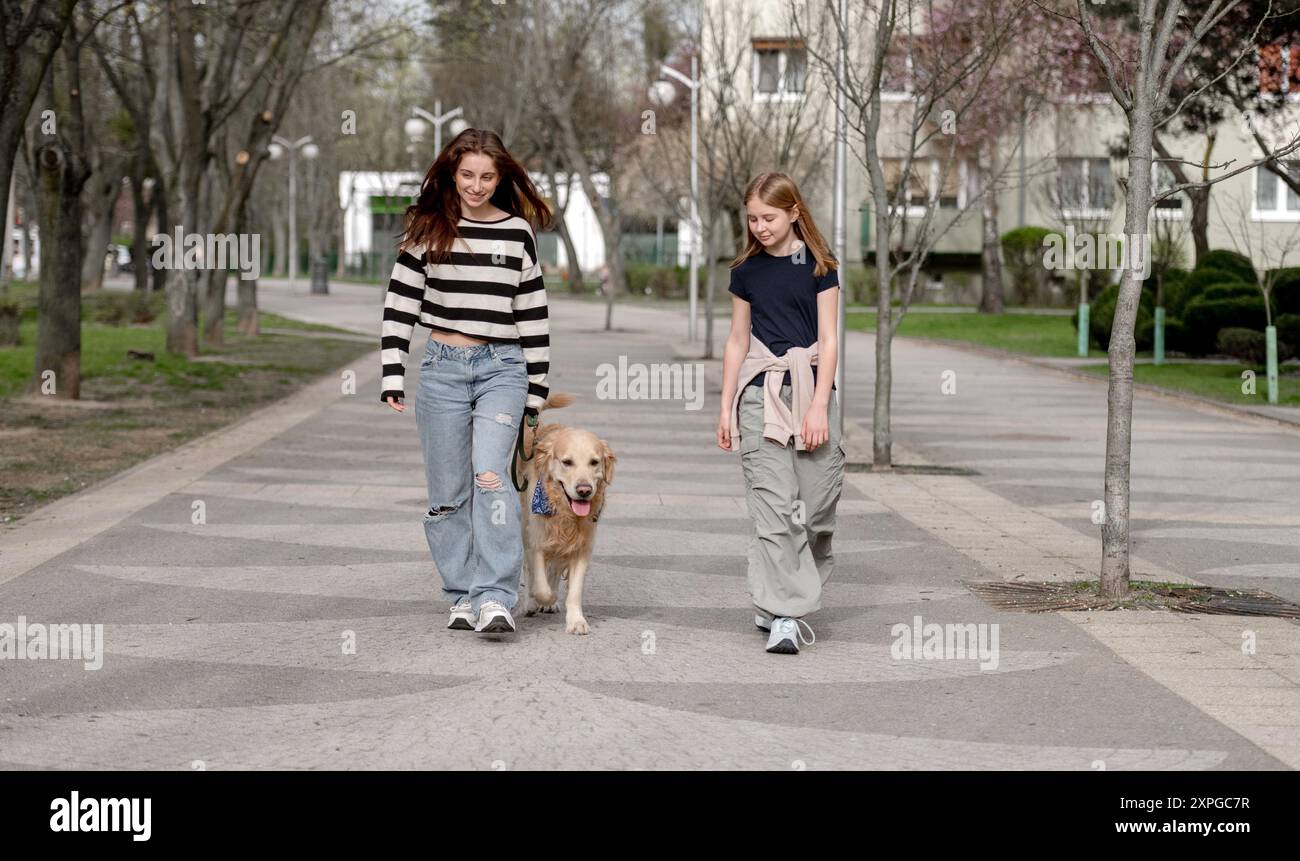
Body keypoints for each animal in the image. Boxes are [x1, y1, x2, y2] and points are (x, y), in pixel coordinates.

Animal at [514, 395, 616, 634]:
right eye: (567, 462)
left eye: (594, 462)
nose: (584, 490)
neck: (565, 514)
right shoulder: (537, 539)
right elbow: (540, 586)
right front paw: (540, 599)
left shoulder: (581, 545)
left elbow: (574, 590)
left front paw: (576, 621)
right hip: (525, 528)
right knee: (529, 569)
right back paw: (529, 604)